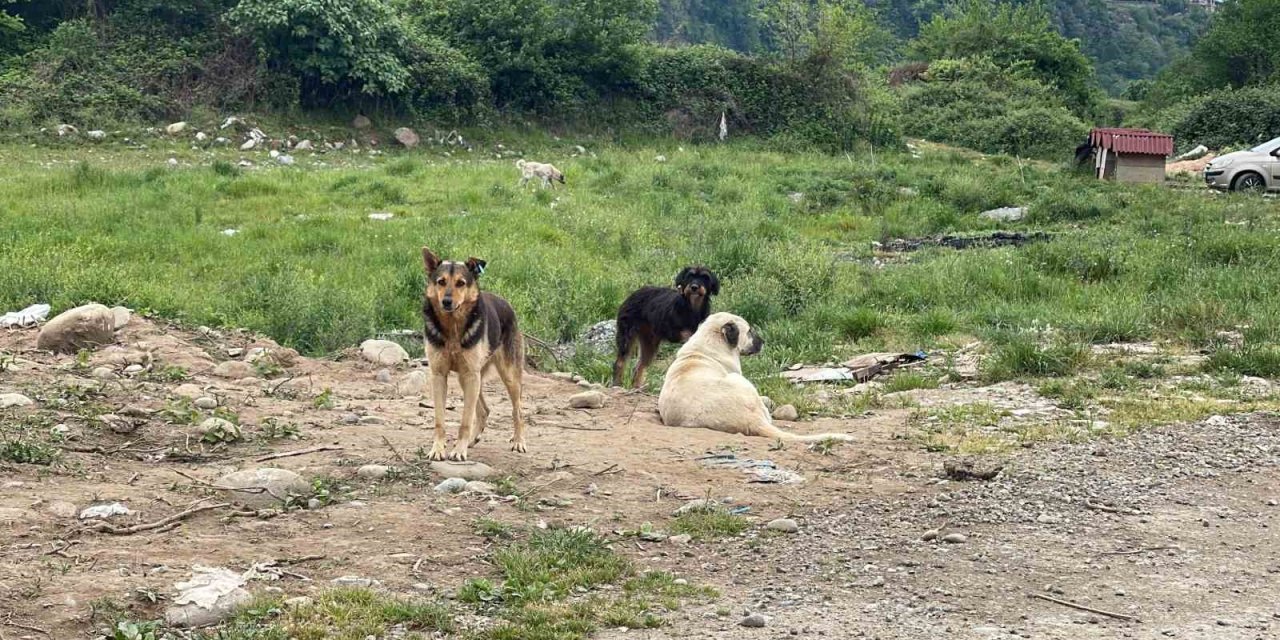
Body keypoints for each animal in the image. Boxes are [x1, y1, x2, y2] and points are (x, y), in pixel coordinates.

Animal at [424, 244, 524, 460]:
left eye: (461, 283)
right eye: (441, 282)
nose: (446, 301)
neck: (453, 325)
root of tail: (506, 303)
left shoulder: (471, 375)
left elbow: (465, 420)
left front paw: (459, 451)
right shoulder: (439, 375)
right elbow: (439, 419)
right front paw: (438, 448)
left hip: (507, 377)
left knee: (518, 411)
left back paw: (519, 441)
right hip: (467, 379)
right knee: (484, 410)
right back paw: (472, 440)